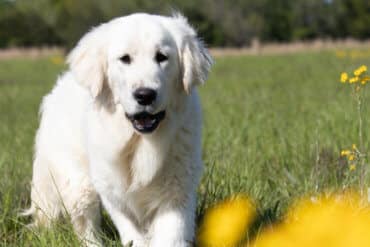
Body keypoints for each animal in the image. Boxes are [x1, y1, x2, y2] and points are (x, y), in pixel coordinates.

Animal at [25, 13, 211, 247]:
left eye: (162, 57)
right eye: (125, 59)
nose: (145, 95)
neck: (140, 142)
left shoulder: (177, 187)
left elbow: (172, 233)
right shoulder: (113, 189)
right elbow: (131, 231)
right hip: (80, 183)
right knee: (86, 225)